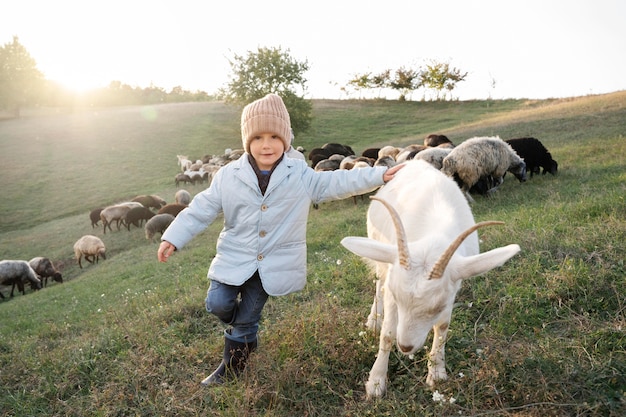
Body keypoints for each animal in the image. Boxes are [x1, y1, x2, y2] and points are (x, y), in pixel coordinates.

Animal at [338, 159, 520, 396]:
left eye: (438, 307)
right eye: (398, 299)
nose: (405, 347)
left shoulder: (453, 289)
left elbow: (441, 328)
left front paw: (436, 372)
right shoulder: (392, 286)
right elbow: (387, 334)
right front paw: (376, 382)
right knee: (379, 285)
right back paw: (374, 320)